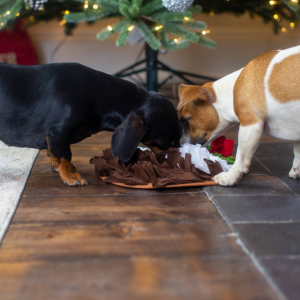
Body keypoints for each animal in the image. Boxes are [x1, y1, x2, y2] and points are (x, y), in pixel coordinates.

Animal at [0, 62, 180, 186]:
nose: (178, 161)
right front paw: (70, 176)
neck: (98, 95)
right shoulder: (58, 133)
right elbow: (65, 156)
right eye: (166, 144)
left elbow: (54, 154)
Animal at [178, 45, 300, 185]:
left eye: (185, 121)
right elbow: (297, 151)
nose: (179, 144)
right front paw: (296, 171)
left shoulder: (251, 124)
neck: (231, 91)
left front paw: (230, 176)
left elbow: (241, 156)